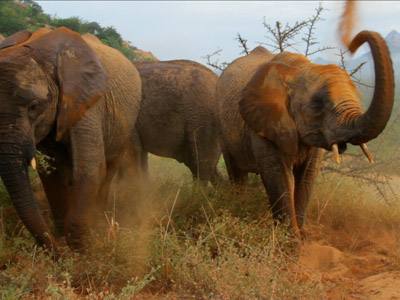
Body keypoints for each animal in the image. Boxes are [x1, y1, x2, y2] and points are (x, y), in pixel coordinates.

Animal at [0, 27, 142, 251]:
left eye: (34, 107)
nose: (57, 252)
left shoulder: (88, 103)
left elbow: (90, 167)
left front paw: (79, 249)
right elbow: (51, 172)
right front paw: (63, 238)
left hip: (126, 126)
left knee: (108, 168)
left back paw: (98, 223)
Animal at [216, 31, 394, 234]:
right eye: (317, 105)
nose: (352, 44)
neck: (296, 69)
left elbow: (306, 177)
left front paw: (300, 235)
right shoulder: (263, 122)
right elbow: (280, 178)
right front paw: (290, 240)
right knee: (236, 173)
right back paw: (238, 203)